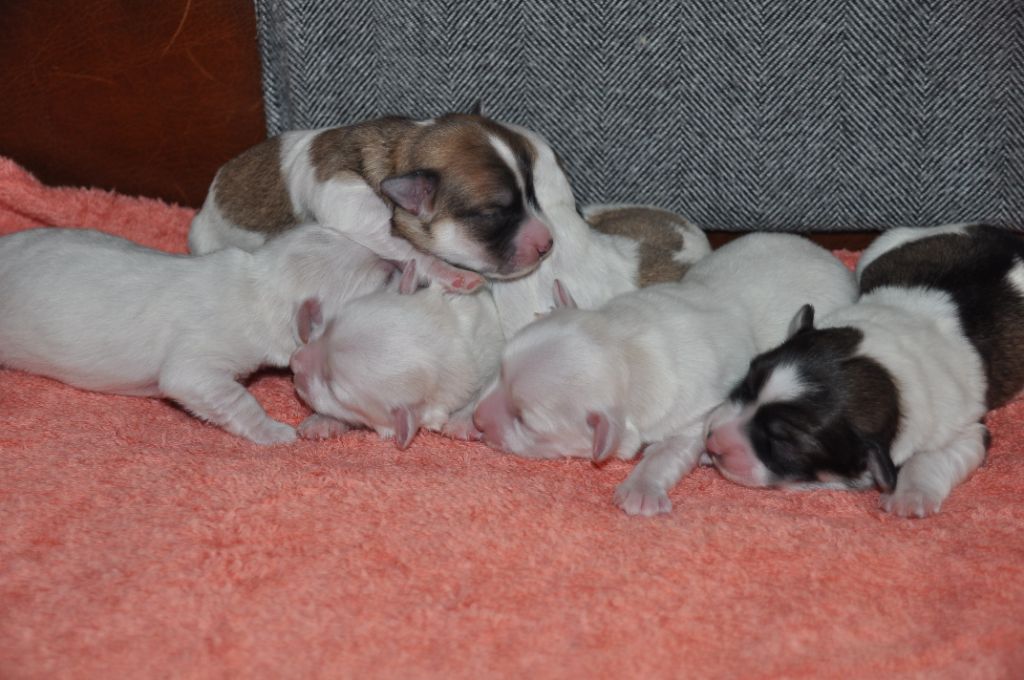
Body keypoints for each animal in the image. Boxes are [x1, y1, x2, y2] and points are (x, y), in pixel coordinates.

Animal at [0, 225, 391, 444]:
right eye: (378, 281)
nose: (395, 263)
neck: (257, 285)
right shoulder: (199, 363)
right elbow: (226, 395)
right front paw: (275, 433)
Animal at [188, 112, 557, 292]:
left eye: (532, 193)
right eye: (492, 214)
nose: (548, 244)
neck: (399, 152)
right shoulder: (347, 201)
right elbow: (403, 244)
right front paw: (450, 272)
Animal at [288, 262, 503, 448]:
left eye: (332, 389)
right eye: (329, 327)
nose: (293, 363)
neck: (448, 336)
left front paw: (463, 421)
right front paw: (321, 422)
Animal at [471, 233, 856, 516]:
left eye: (525, 421)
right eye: (499, 370)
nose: (478, 421)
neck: (624, 349)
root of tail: (829, 255)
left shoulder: (696, 417)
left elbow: (667, 453)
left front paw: (640, 490)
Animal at [704, 225, 1024, 518]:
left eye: (783, 441)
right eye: (745, 386)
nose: (713, 442)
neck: (884, 358)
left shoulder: (968, 429)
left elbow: (931, 456)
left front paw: (909, 496)